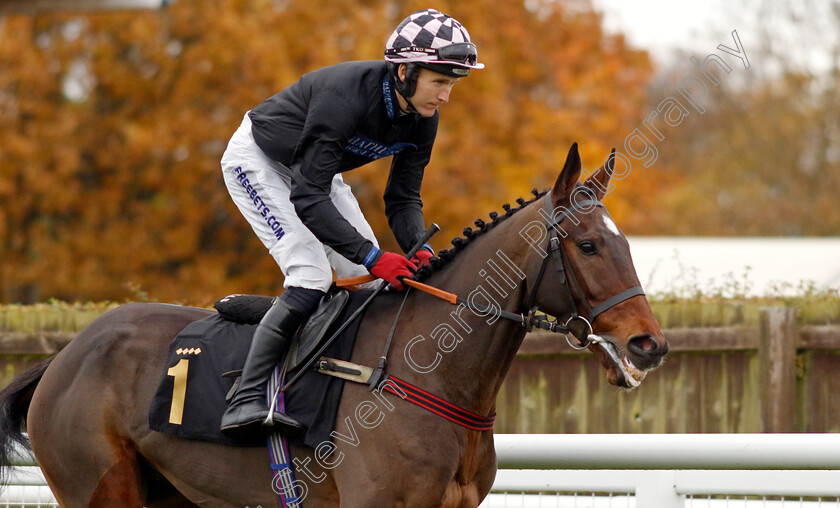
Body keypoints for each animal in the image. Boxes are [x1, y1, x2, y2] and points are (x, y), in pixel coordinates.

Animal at [0, 144, 668, 508]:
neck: (429, 375)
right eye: (587, 245)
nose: (649, 343)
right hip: (99, 485)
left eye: (625, 243)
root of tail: (64, 356)